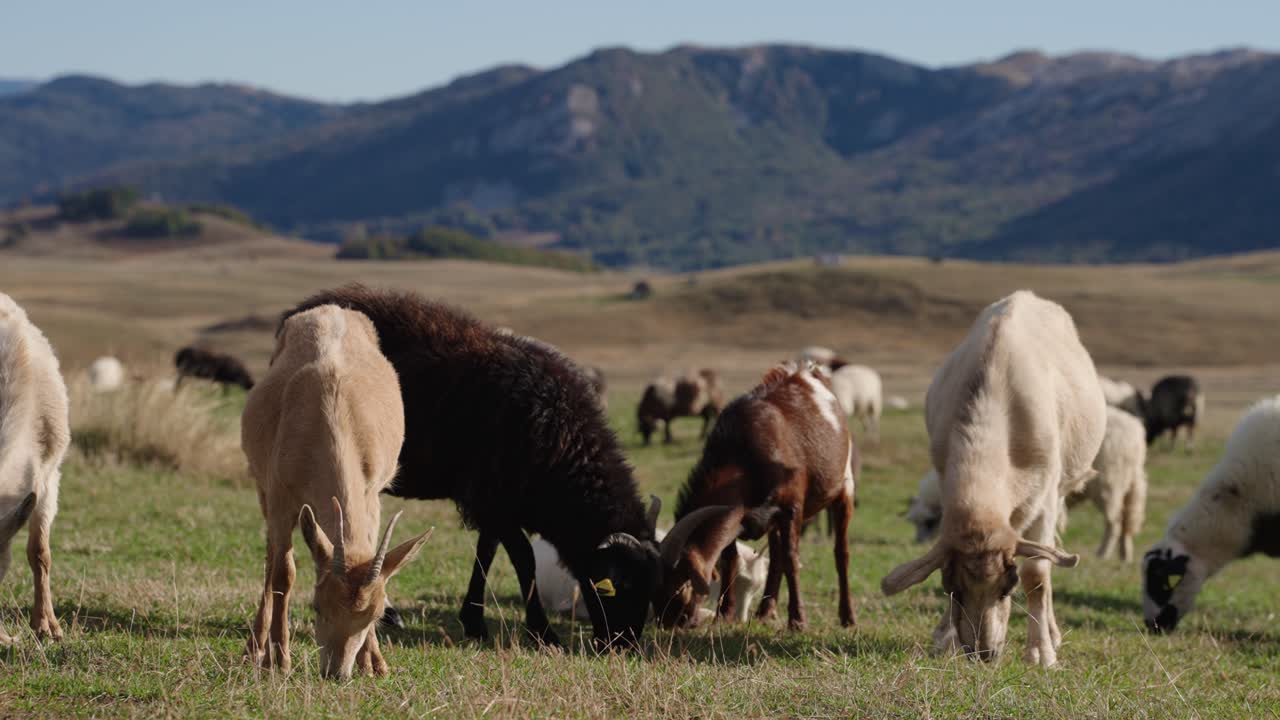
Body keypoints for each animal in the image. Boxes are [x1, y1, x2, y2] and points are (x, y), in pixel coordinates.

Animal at [242, 305, 431, 678]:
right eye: (316, 606)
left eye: (377, 614)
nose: (335, 672)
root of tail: (330, 309)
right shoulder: (281, 496)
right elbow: (283, 574)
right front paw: (279, 661)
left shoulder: (372, 493)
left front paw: (374, 663)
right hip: (263, 490)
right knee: (271, 558)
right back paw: (255, 649)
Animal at [281, 284, 664, 649]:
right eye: (623, 583)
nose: (623, 644)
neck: (558, 438)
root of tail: (298, 311)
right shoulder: (493, 500)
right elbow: (524, 559)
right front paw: (543, 633)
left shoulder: (495, 501)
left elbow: (486, 553)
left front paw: (475, 623)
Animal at [654, 361, 858, 630]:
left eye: (678, 588)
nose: (667, 623)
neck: (742, 456)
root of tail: (810, 373)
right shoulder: (742, 515)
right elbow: (730, 558)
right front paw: (724, 613)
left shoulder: (791, 507)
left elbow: (792, 559)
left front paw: (798, 620)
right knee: (776, 556)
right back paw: (765, 611)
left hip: (844, 486)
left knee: (841, 553)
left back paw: (847, 616)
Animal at [880, 291, 1106, 667]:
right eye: (950, 589)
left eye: (1007, 588)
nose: (983, 653)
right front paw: (946, 639)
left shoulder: (1045, 497)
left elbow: (1038, 575)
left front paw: (1040, 652)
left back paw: (1052, 633)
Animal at [1064, 407, 1148, 562]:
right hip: (1129, 483)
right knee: (1126, 521)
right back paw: (1125, 555)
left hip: (1108, 483)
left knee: (1115, 522)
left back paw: (1103, 554)